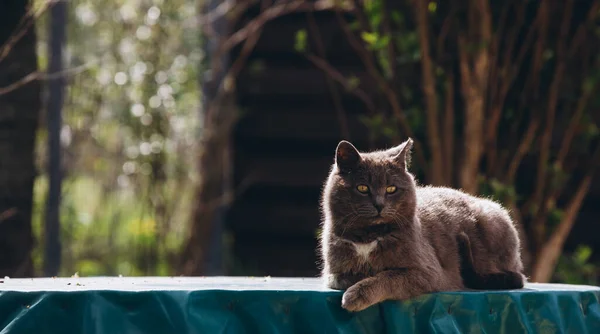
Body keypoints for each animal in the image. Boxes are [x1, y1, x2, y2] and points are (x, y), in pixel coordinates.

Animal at [318, 137, 524, 312]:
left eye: (391, 189)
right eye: (362, 188)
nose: (379, 205)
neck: (369, 236)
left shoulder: (428, 273)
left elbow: (388, 276)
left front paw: (355, 295)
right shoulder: (332, 271)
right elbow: (342, 277)